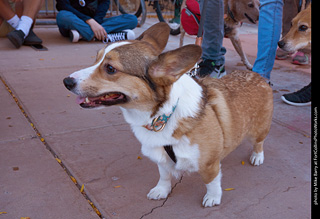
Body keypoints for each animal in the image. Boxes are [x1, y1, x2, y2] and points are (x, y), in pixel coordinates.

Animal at [63, 23, 274, 208]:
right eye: (96, 59)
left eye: (110, 69)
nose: (66, 81)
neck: (163, 116)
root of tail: (258, 76)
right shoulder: (161, 157)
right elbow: (164, 177)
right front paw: (161, 191)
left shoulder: (208, 165)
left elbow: (211, 182)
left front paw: (213, 198)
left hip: (259, 130)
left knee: (259, 142)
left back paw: (257, 157)